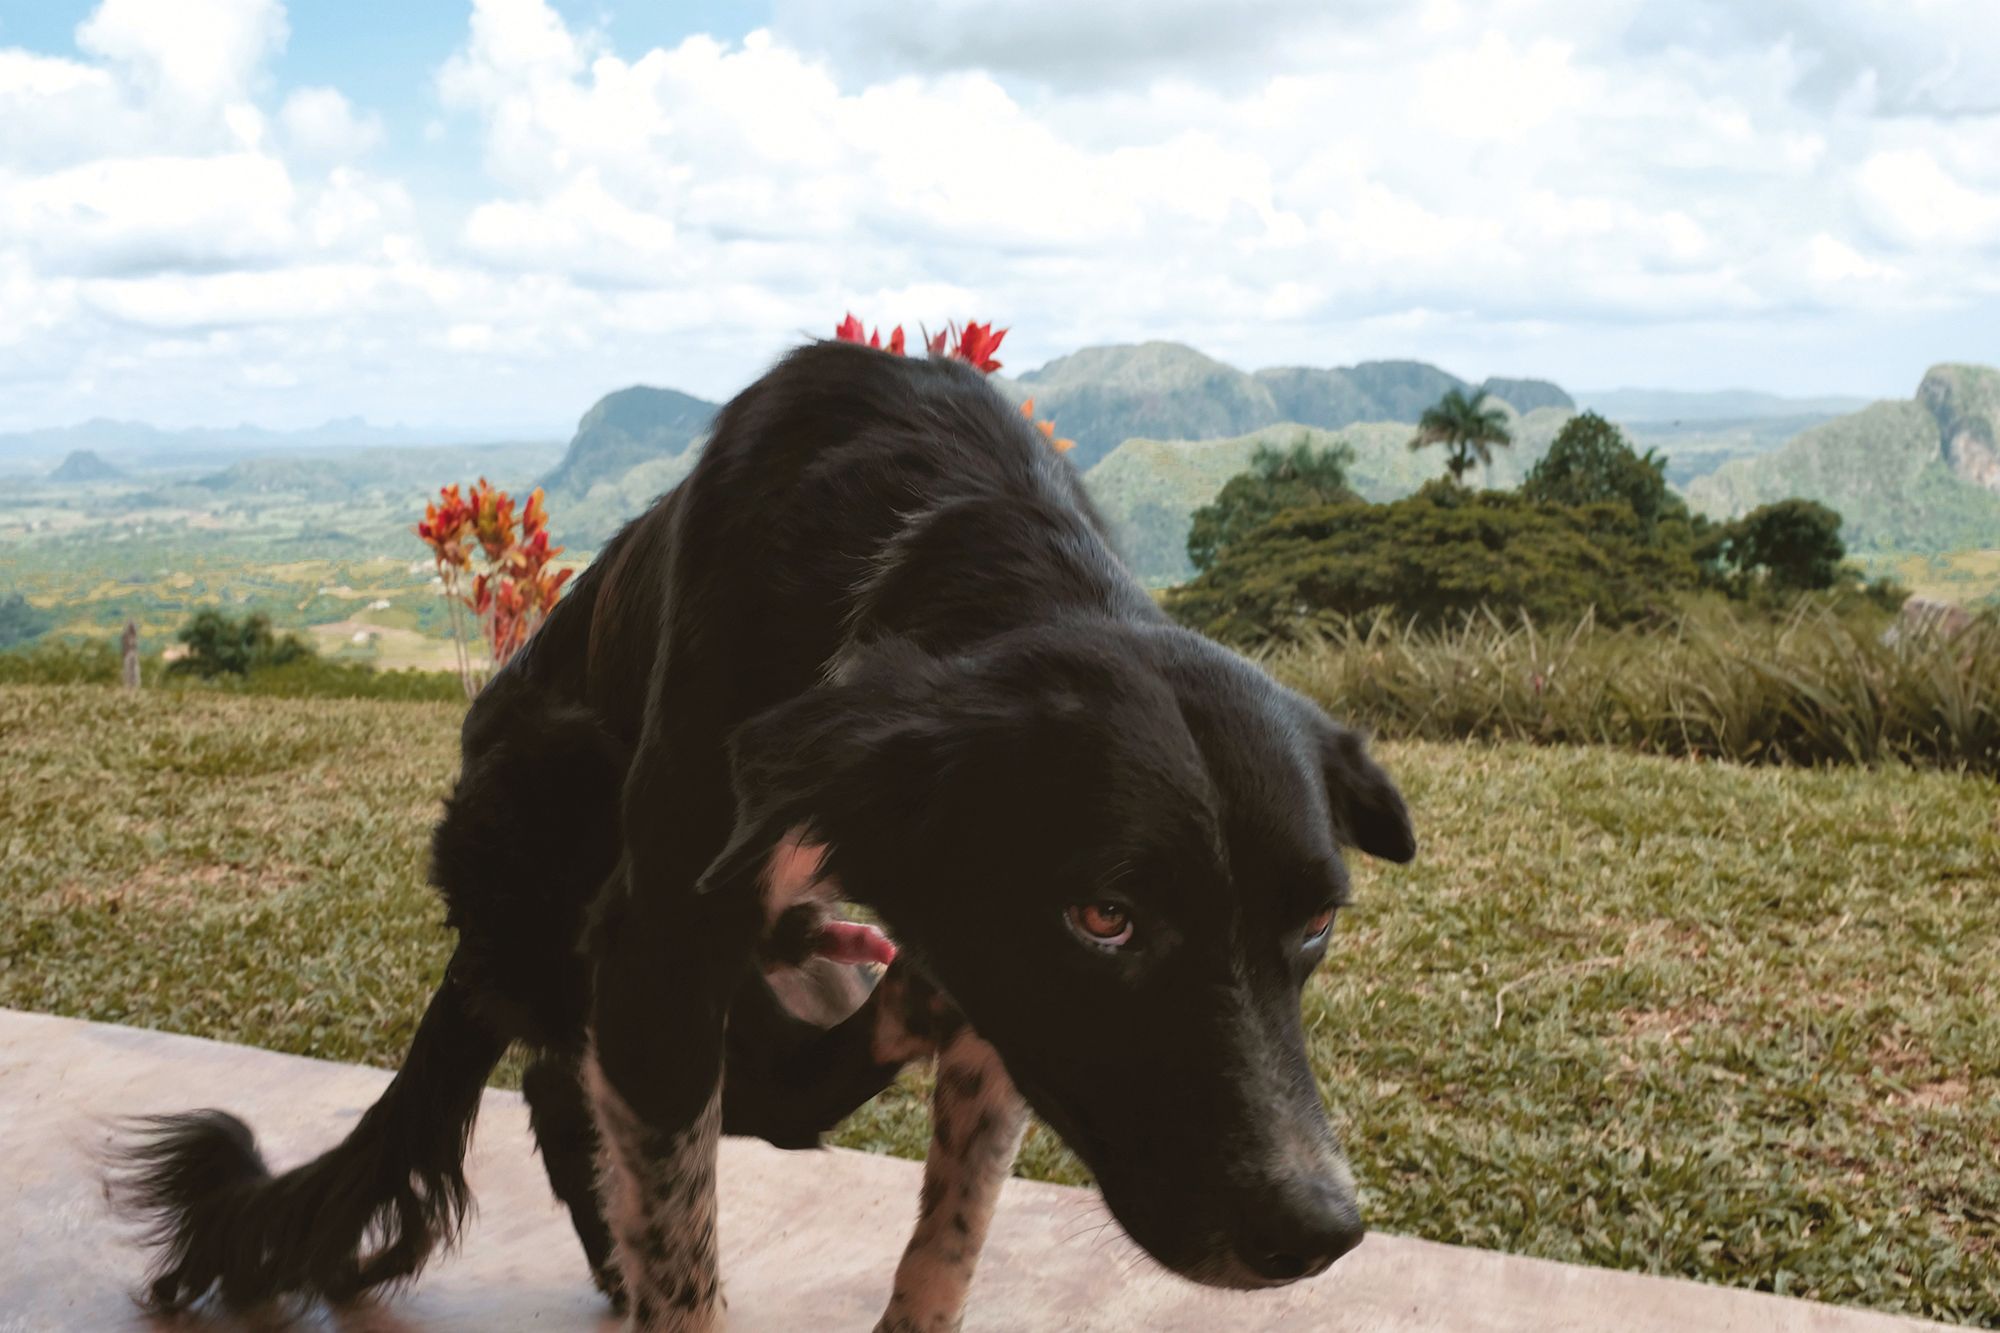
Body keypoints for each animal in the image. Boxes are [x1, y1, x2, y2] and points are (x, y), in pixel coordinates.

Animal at [113, 339, 1417, 1330]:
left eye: (1313, 924)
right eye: (1106, 917)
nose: (1317, 1232)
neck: (938, 536)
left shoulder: (1008, 1005)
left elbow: (947, 1239)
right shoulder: (658, 950)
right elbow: (685, 1252)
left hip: (801, 961)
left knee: (712, 1085)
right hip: (549, 804)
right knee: (620, 1085)